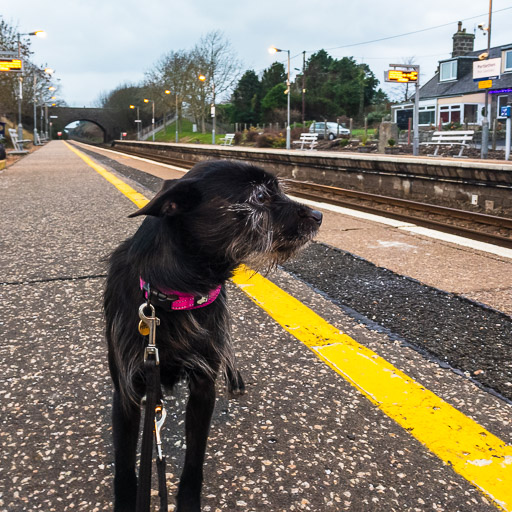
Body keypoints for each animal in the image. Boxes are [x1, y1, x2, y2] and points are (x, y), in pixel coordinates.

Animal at [103, 158, 320, 510]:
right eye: (260, 196)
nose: (318, 215)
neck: (174, 293)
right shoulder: (127, 391)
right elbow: (124, 462)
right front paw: (125, 500)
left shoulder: (203, 387)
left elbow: (195, 456)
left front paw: (189, 500)